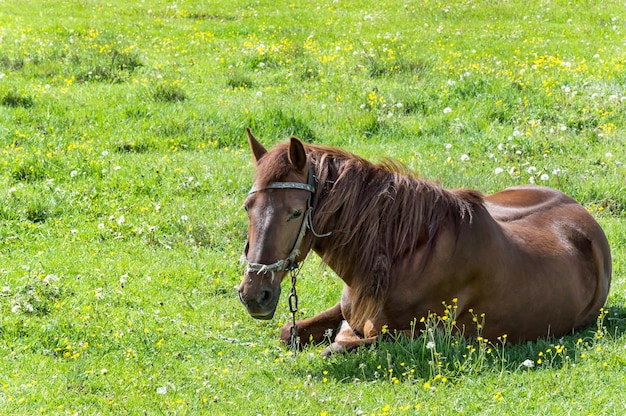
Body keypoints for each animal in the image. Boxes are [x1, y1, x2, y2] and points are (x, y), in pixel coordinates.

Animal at [238, 128, 608, 356]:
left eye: (295, 212)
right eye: (247, 207)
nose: (254, 295)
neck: (403, 257)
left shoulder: (425, 335)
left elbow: (339, 345)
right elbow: (288, 331)